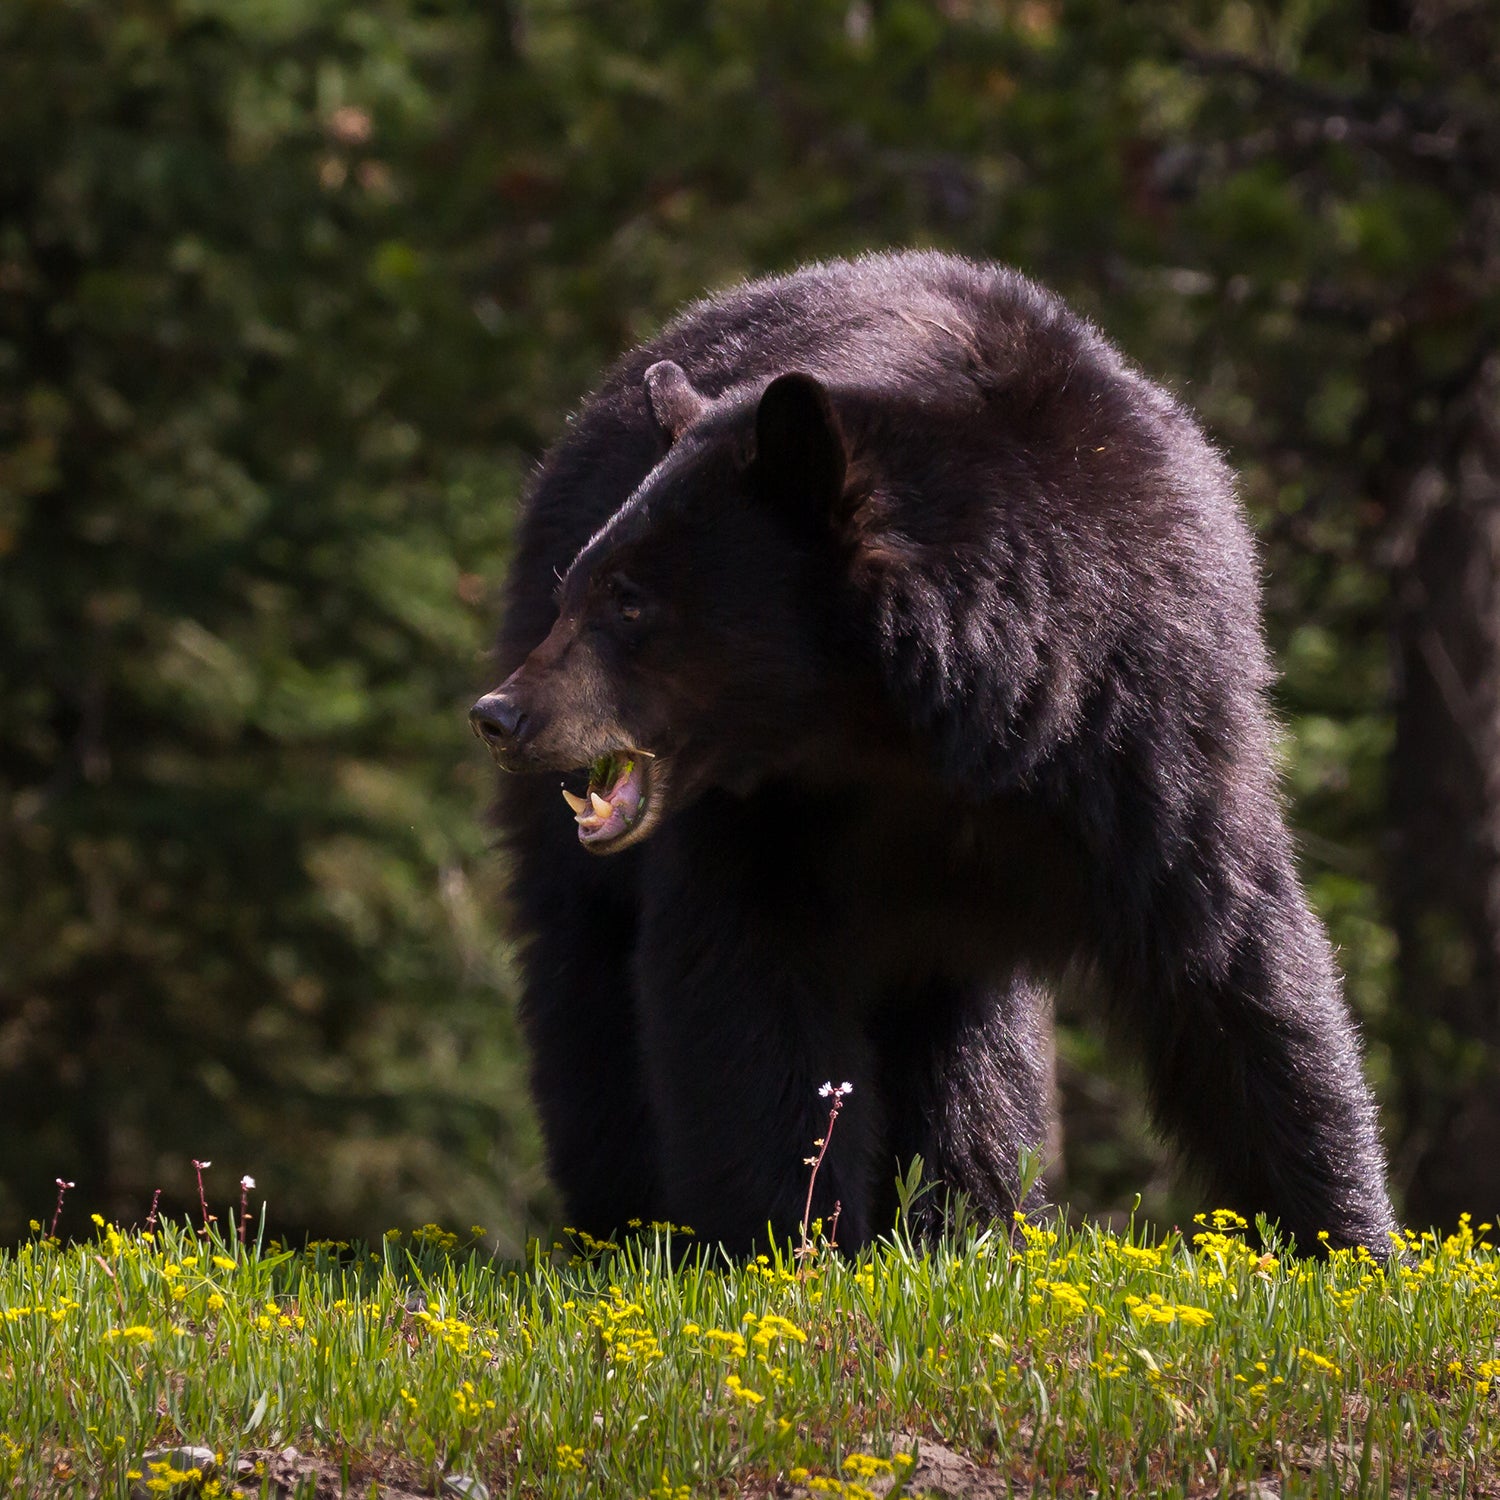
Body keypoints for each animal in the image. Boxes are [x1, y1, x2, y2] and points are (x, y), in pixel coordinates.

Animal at [471, 255, 1392, 1254]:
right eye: (580, 585)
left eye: (631, 600)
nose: (502, 716)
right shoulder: (761, 816)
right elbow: (745, 987)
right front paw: (787, 1242)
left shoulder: (1146, 731)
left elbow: (1236, 968)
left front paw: (1352, 1244)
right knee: (588, 987)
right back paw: (625, 1223)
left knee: (970, 1053)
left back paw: (971, 1218)